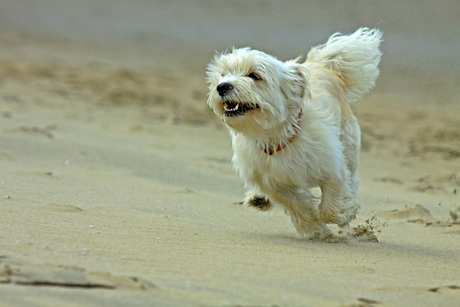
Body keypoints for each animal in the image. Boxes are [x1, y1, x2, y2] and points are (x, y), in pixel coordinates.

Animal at [207, 27, 382, 237]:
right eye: (224, 74)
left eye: (254, 75)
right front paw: (312, 226)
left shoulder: (332, 167)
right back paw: (258, 198)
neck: (276, 136)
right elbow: (295, 203)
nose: (222, 86)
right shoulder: (272, 183)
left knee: (352, 178)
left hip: (348, 145)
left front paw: (341, 214)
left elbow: (332, 201)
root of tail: (323, 66)